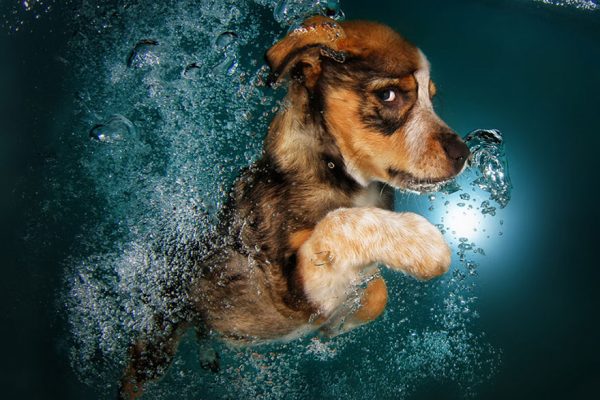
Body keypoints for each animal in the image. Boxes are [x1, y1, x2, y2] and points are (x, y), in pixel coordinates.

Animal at [119, 14, 472, 396]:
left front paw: (339, 323)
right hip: (155, 341)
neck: (334, 171)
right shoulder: (290, 292)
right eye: (388, 95)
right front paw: (418, 243)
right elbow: (340, 222)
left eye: (431, 98)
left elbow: (377, 291)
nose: (463, 154)